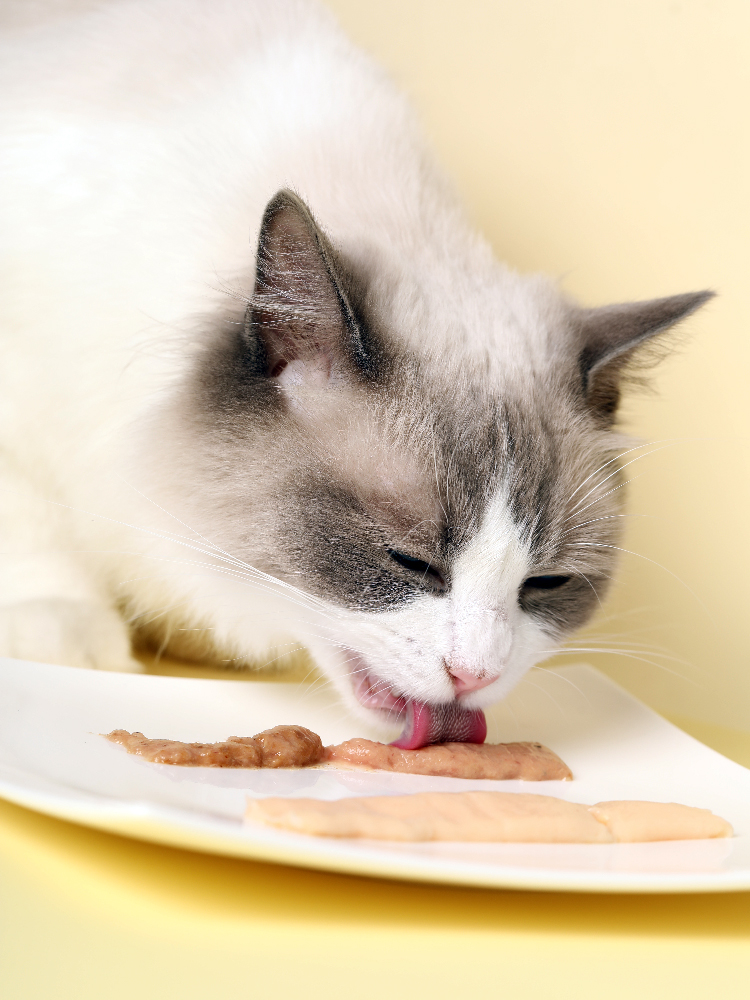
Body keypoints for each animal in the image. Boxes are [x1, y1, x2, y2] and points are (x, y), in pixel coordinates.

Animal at [0, 0, 712, 744]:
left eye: (545, 584)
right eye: (409, 563)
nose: (475, 675)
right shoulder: (19, 402)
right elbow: (29, 524)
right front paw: (65, 633)